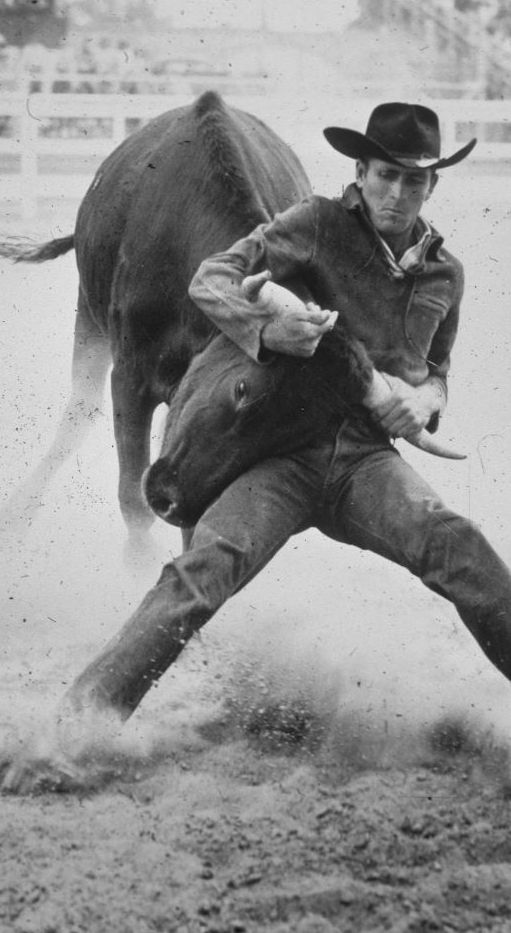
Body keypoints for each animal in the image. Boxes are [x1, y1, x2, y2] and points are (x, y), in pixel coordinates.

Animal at [0, 91, 312, 550]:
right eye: (242, 390)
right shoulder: (130, 377)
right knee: (79, 411)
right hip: (88, 315)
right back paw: (19, 511)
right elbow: (132, 495)